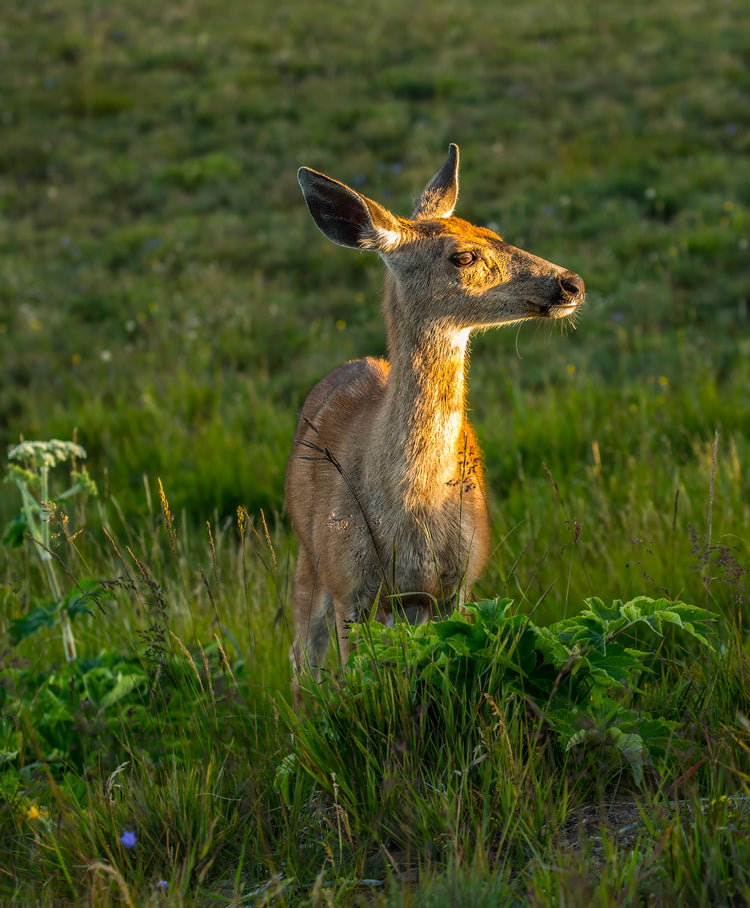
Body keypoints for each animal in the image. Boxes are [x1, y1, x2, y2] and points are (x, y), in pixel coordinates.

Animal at [286, 143, 584, 705]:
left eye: (493, 233)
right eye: (462, 255)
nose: (570, 283)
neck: (411, 503)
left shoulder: (458, 581)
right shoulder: (350, 586)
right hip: (309, 555)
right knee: (300, 658)